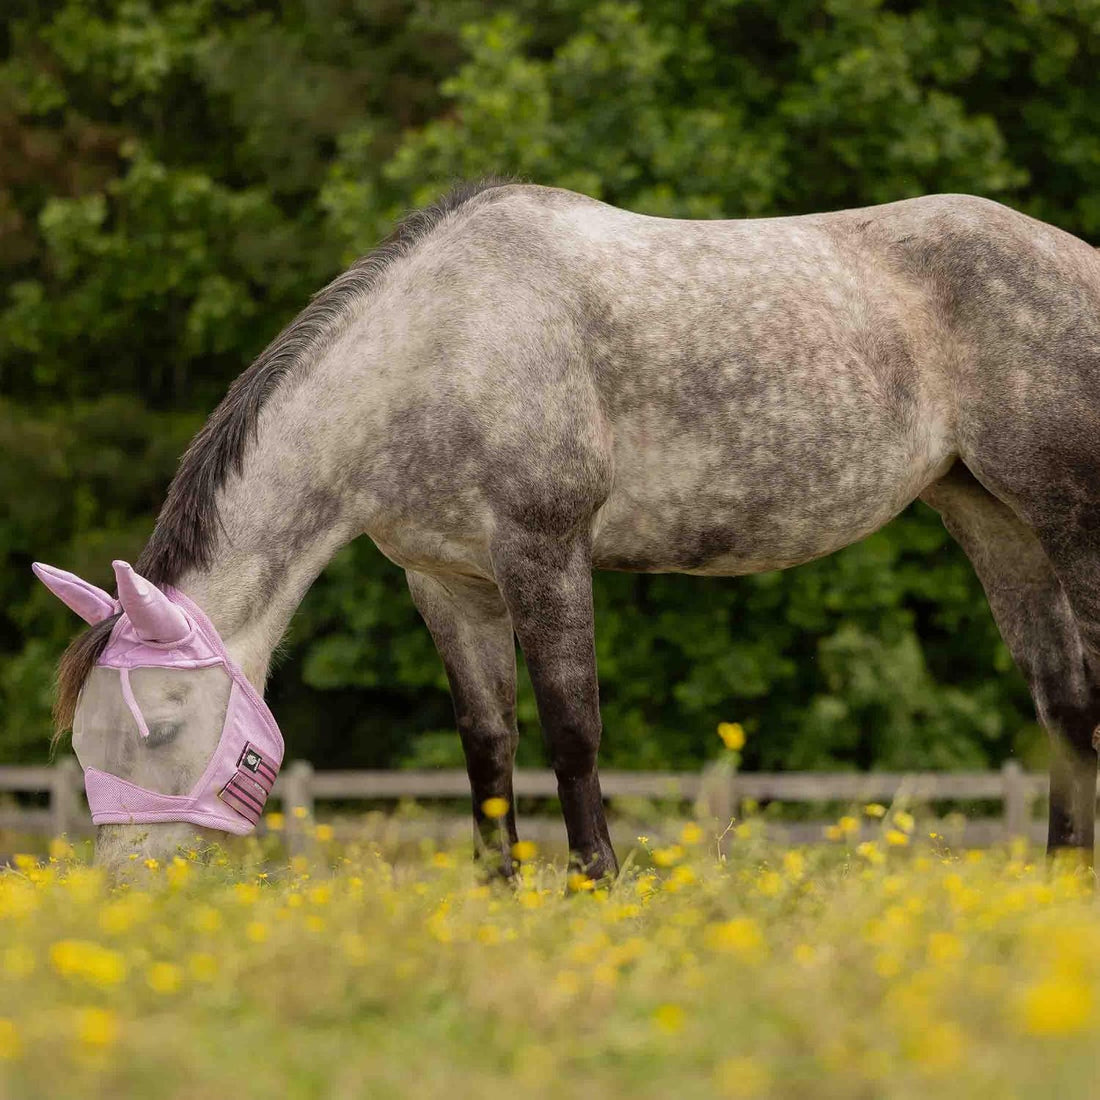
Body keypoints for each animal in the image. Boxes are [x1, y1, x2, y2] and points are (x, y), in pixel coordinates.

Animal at [40, 180, 1100, 879]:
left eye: (160, 724)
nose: (129, 896)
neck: (438, 350)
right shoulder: (449, 583)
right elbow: (488, 748)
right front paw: (500, 898)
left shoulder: (543, 551)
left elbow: (572, 729)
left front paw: (598, 888)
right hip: (994, 521)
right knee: (1063, 706)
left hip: (1069, 520)